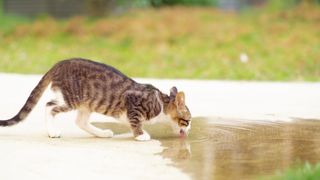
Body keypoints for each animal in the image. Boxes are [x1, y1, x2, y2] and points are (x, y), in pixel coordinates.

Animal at [0, 58, 191, 141]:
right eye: (188, 121)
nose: (189, 129)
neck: (161, 103)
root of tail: (59, 63)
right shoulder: (133, 102)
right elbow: (135, 121)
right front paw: (140, 135)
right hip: (72, 98)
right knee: (49, 105)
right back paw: (52, 131)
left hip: (87, 103)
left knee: (80, 121)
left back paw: (101, 133)